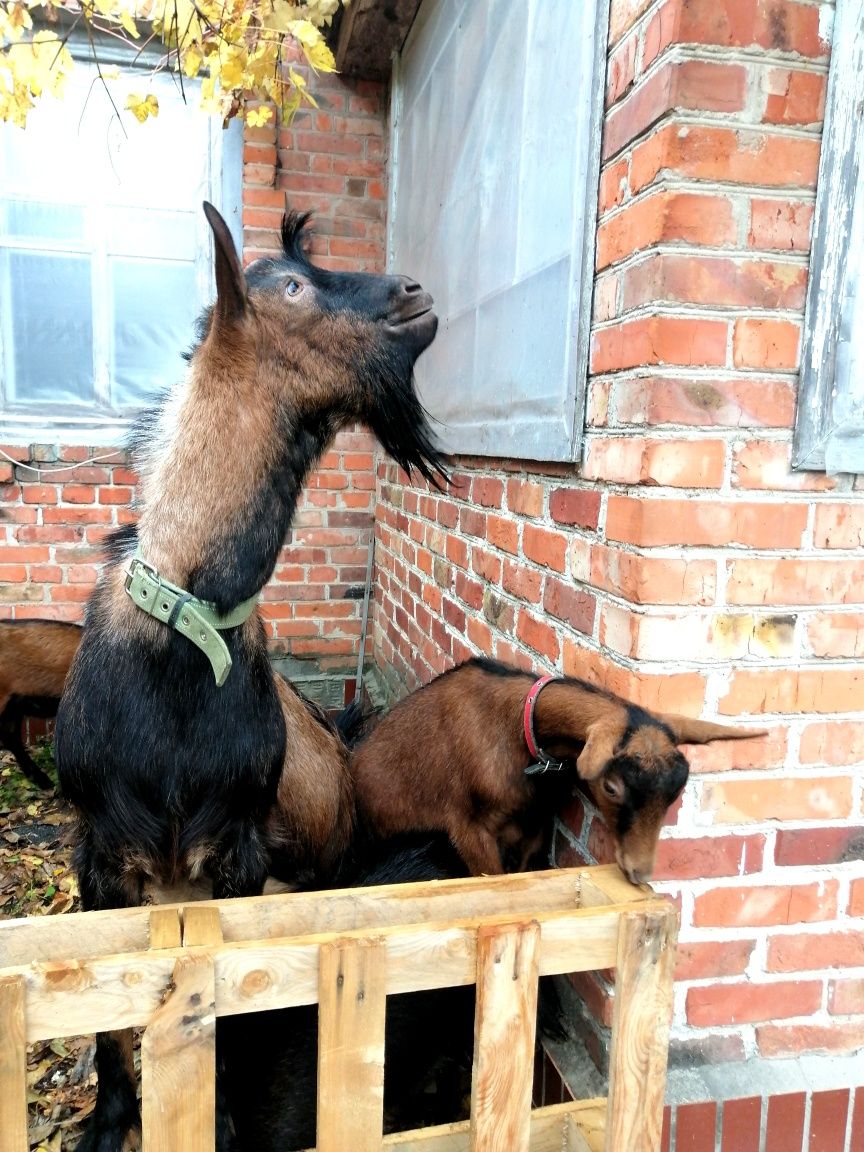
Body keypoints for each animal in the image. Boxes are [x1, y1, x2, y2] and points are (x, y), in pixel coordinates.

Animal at [347, 658, 769, 880]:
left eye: (676, 792)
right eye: (611, 787)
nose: (640, 870)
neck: (519, 727)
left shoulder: (535, 820)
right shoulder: (468, 828)